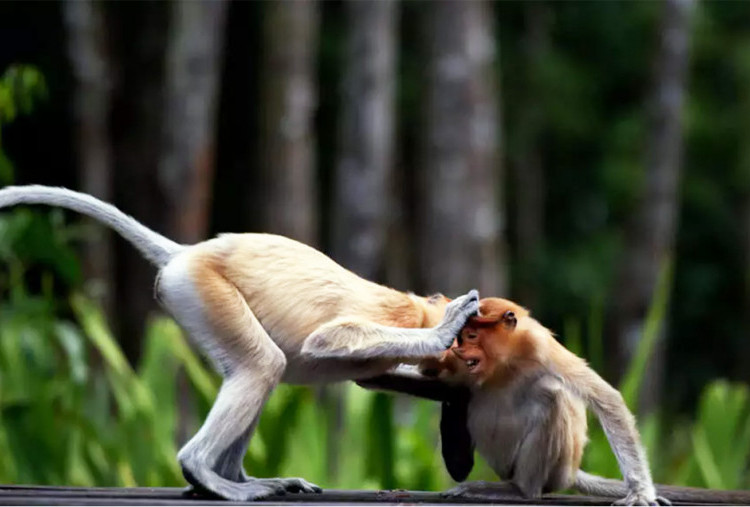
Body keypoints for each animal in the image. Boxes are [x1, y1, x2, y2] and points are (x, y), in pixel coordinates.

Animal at [0, 185, 481, 501]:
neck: (417, 309)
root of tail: (186, 253)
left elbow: (375, 377)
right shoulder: (387, 316)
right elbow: (328, 337)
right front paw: (448, 327)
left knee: (264, 370)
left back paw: (242, 479)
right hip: (204, 291)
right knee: (264, 364)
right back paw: (211, 475)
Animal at [357, 297, 750, 506]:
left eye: (471, 336)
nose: (459, 349)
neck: (506, 363)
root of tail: (572, 471)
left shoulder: (544, 349)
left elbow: (606, 399)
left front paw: (641, 492)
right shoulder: (461, 370)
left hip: (555, 468)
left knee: (552, 395)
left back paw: (519, 491)